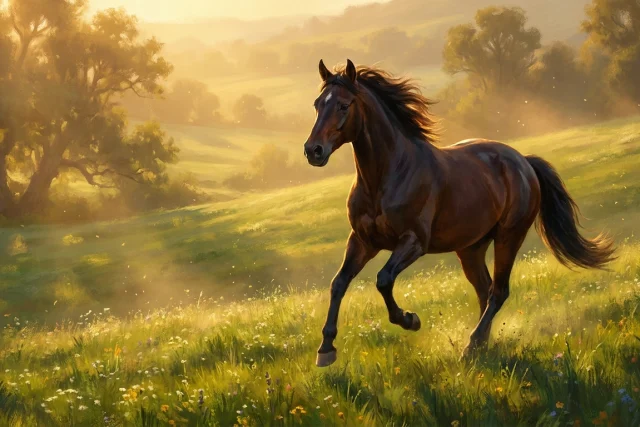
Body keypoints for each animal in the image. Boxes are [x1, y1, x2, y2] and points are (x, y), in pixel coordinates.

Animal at [303, 59, 616, 367]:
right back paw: (481, 345)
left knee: (498, 291)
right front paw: (325, 349)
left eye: (344, 105)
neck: (385, 177)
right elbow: (338, 283)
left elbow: (383, 279)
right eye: (317, 104)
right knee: (485, 290)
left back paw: (471, 345)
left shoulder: (413, 242)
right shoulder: (362, 241)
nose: (313, 151)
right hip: (471, 248)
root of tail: (523, 162)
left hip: (509, 237)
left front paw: (410, 320)